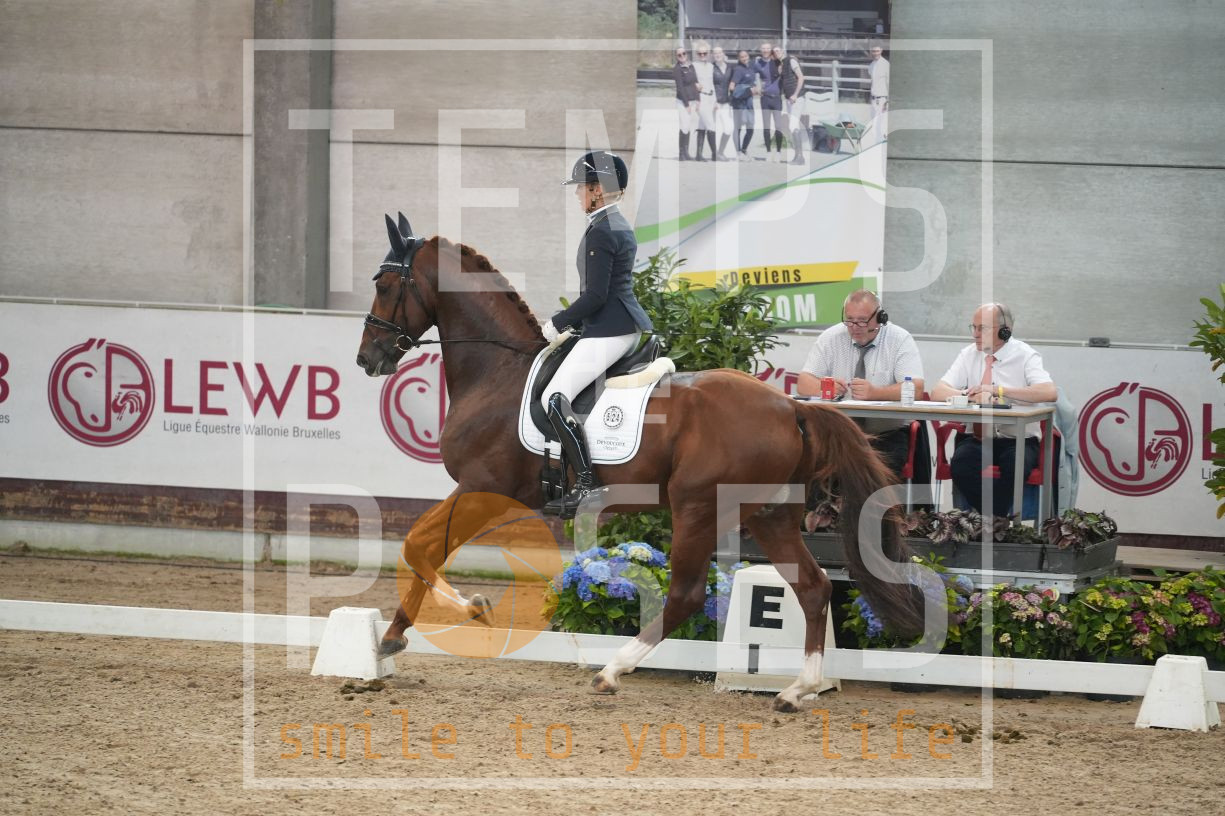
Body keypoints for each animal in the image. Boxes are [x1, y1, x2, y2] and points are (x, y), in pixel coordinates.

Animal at [356, 213, 924, 712]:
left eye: (384, 284)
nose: (367, 358)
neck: (497, 372)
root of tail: (790, 407)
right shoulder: (479, 492)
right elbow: (421, 546)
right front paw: (399, 635)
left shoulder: (482, 488)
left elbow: (419, 545)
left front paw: (464, 611)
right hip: (770, 514)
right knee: (812, 586)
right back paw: (795, 691)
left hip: (697, 506)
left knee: (687, 595)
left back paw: (612, 671)